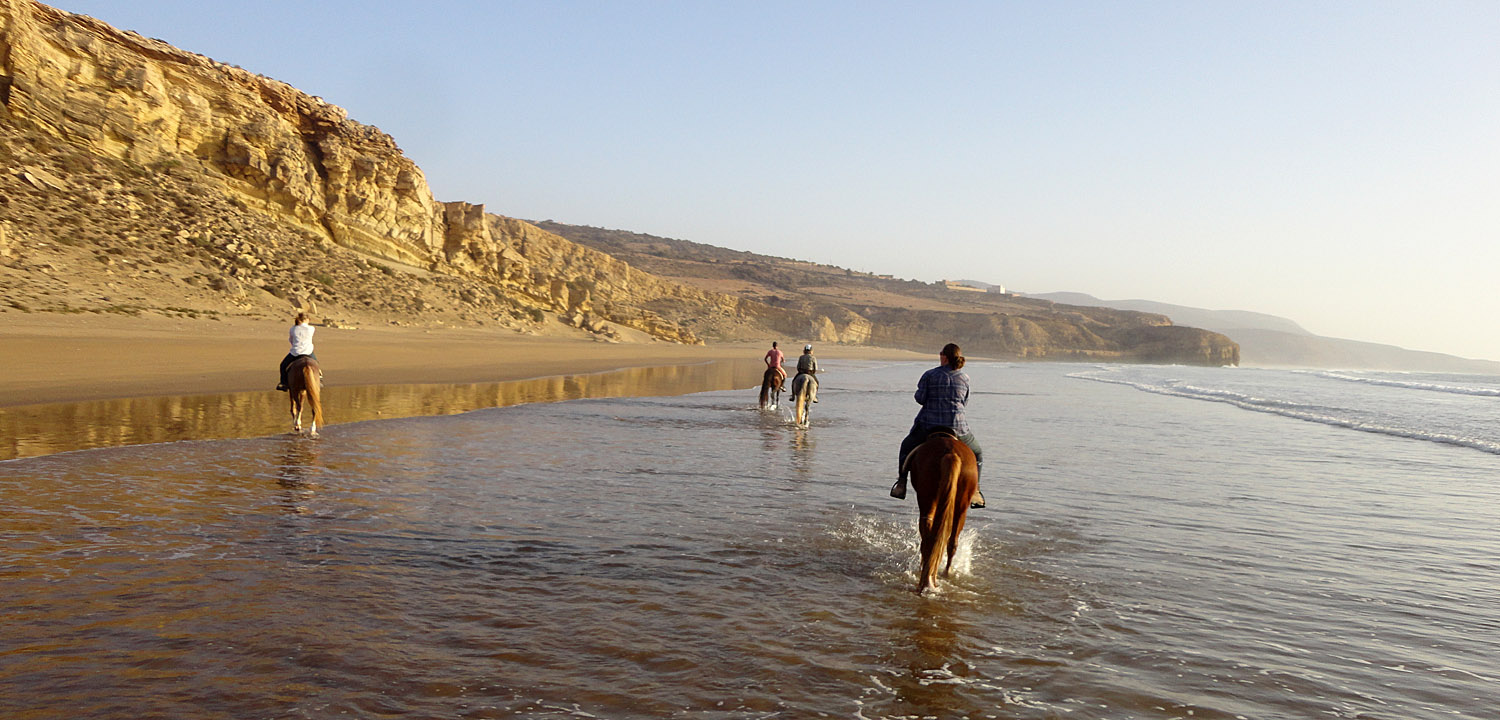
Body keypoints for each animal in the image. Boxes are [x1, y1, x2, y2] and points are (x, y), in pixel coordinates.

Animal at [905, 429, 979, 593]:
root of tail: (951, 452)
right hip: (961, 507)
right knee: (951, 542)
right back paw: (943, 573)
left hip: (927, 498)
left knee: (927, 535)